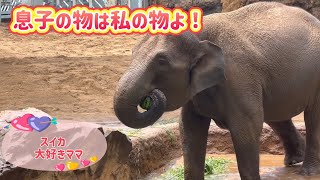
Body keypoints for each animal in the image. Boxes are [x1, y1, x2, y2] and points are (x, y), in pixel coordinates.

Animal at [113, 1, 320, 180]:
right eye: (132, 52)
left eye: (162, 61)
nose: (150, 96)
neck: (200, 34)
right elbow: (189, 127)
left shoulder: (239, 75)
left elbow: (247, 126)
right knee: (275, 116)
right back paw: (293, 161)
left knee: (312, 118)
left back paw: (307, 172)